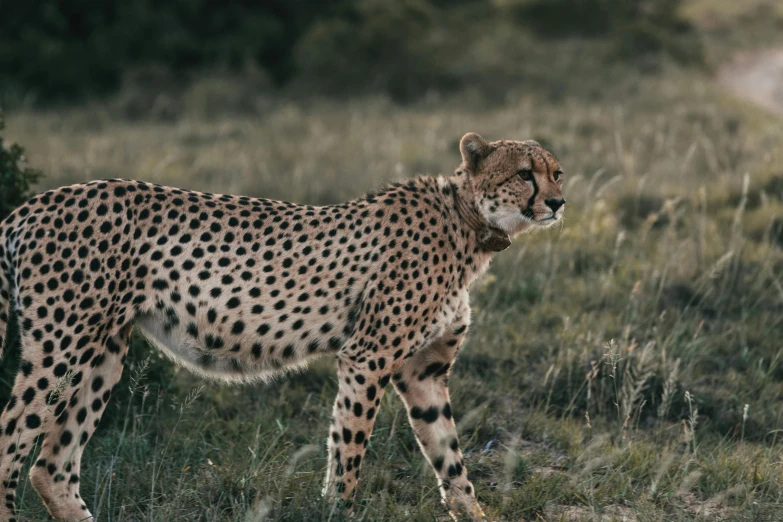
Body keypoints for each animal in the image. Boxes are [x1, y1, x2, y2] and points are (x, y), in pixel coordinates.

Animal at [0, 132, 568, 516]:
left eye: (556, 172)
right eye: (524, 173)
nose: (558, 202)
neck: (467, 224)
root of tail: (32, 204)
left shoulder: (422, 373)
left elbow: (450, 458)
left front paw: (474, 512)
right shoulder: (367, 356)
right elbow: (349, 447)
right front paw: (337, 509)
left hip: (103, 352)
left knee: (51, 466)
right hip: (61, 346)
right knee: (11, 437)